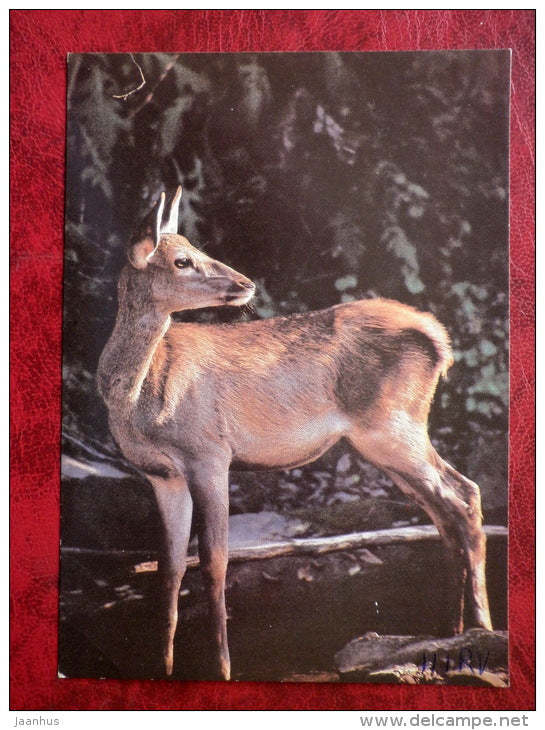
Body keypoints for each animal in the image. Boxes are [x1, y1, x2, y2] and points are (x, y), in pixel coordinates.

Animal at [97, 186, 492, 681]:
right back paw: (452, 629)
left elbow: (214, 561)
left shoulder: (210, 453)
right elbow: (168, 567)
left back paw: (479, 628)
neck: (138, 399)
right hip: (388, 440)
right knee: (447, 508)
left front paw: (222, 668)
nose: (245, 283)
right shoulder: (162, 475)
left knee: (464, 494)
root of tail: (442, 341)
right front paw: (163, 667)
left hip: (392, 426)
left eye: (194, 250)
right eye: (182, 260)